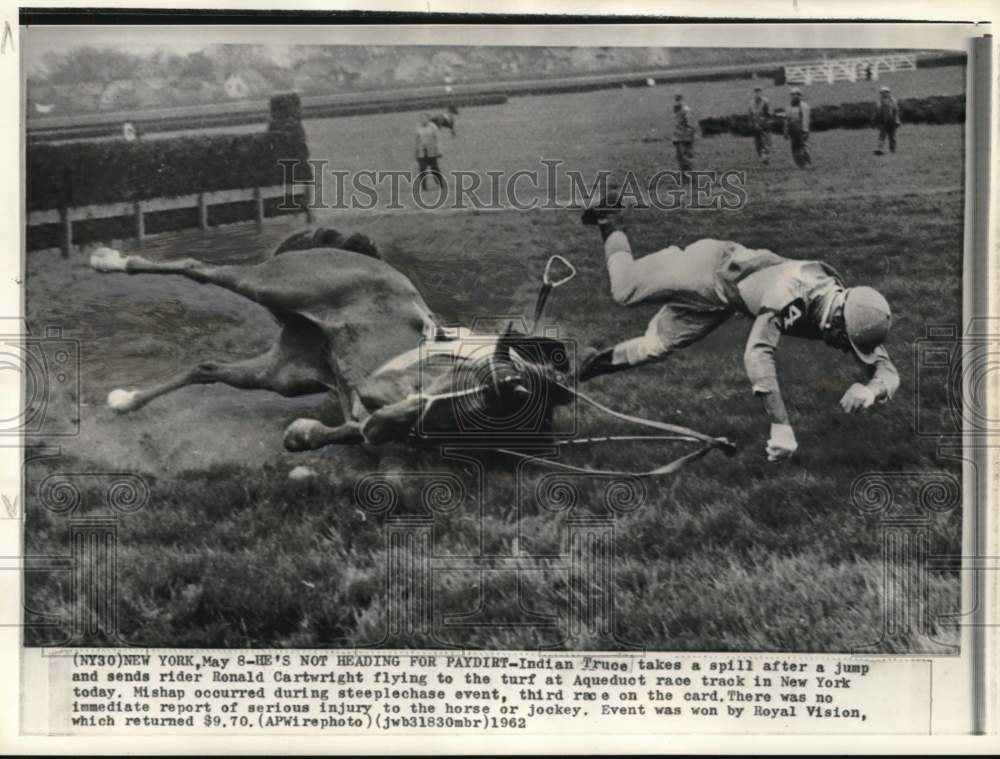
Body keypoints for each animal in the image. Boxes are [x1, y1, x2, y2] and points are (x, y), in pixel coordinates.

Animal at [90, 226, 736, 476]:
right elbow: (376, 421)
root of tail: (353, 253)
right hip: (278, 285)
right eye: (506, 377)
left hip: (285, 370)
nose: (501, 382)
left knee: (208, 368)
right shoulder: (393, 393)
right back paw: (108, 260)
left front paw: (305, 436)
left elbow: (363, 431)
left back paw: (124, 400)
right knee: (199, 269)